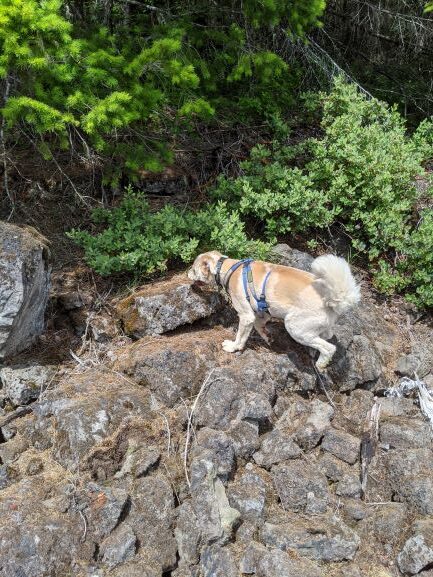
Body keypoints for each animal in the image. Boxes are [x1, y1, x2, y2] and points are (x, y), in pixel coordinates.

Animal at [187, 251, 360, 371]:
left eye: (193, 269)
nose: (186, 272)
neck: (229, 268)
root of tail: (333, 300)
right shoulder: (262, 313)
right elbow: (259, 326)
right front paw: (267, 337)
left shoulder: (246, 316)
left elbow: (241, 337)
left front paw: (233, 347)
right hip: (314, 327)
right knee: (326, 336)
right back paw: (313, 351)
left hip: (295, 327)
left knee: (329, 348)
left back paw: (321, 363)